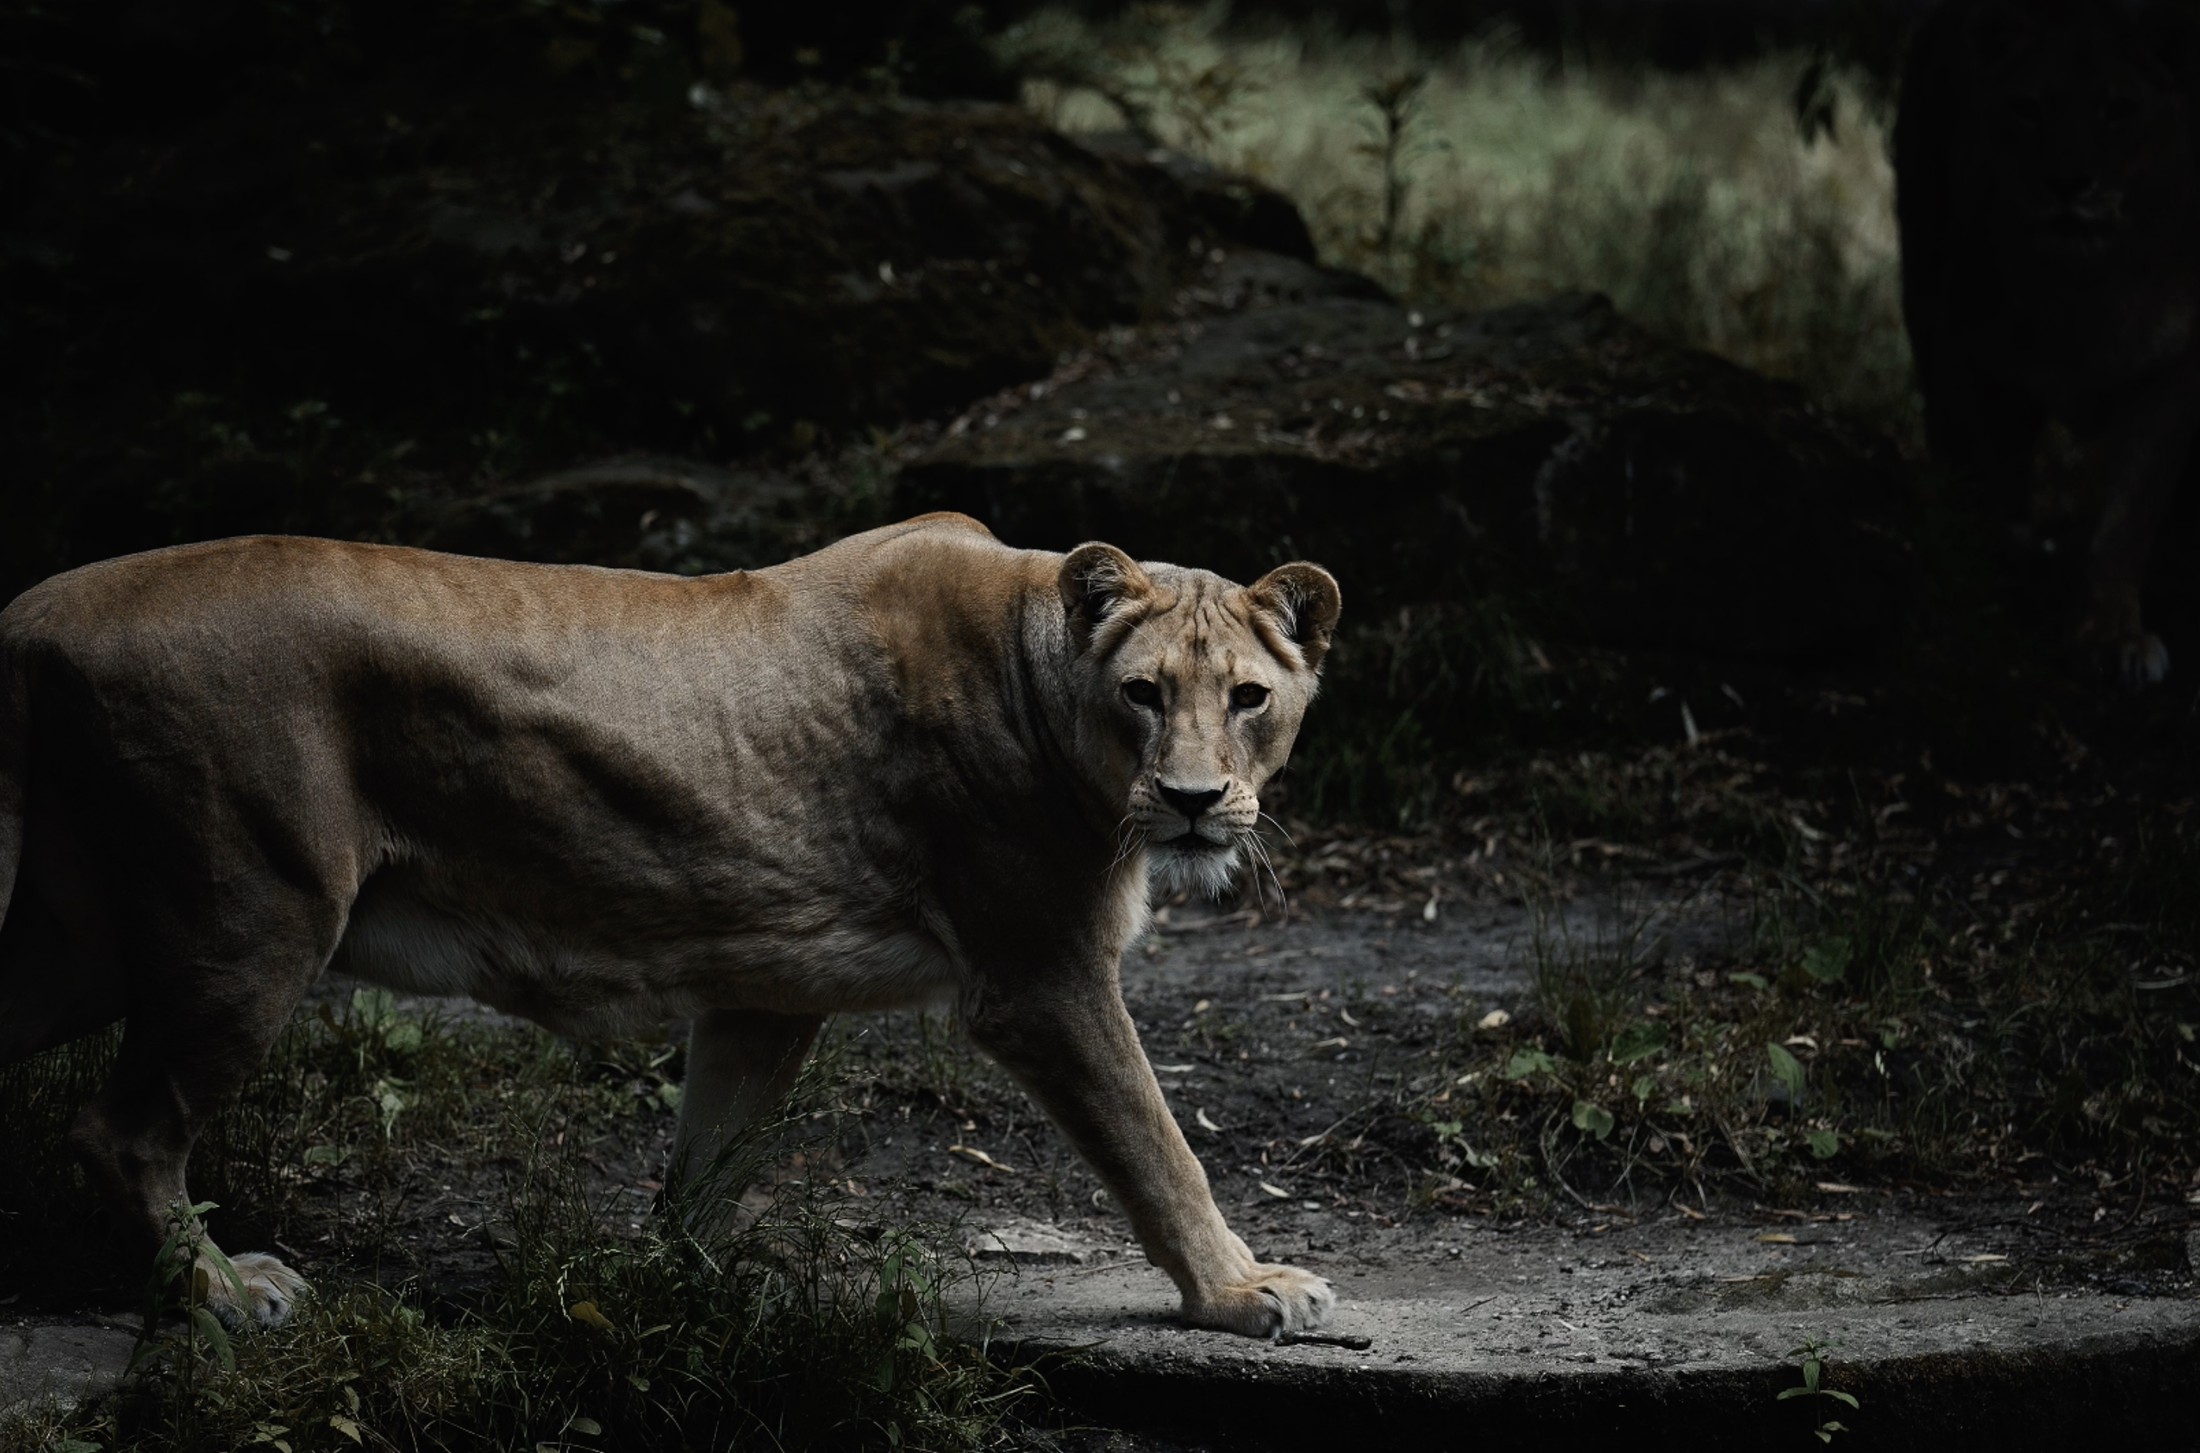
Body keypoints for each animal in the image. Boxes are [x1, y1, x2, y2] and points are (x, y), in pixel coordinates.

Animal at [0, 513, 1340, 1339]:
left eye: (1247, 697)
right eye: (1143, 694)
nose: (1194, 799)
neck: (1040, 678)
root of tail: (41, 607)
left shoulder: (766, 989)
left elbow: (710, 1160)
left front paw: (670, 1294)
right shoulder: (1042, 974)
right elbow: (1156, 1143)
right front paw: (1243, 1289)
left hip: (84, 935)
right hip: (251, 916)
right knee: (122, 1127)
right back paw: (227, 1293)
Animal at [1895, 0, 2200, 684]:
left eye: (2119, 109)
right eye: (2028, 107)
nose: (2068, 182)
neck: (2084, 290)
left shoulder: (2173, 373)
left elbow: (2126, 521)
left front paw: (2115, 635)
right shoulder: (1978, 359)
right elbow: (1996, 478)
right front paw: (1991, 570)